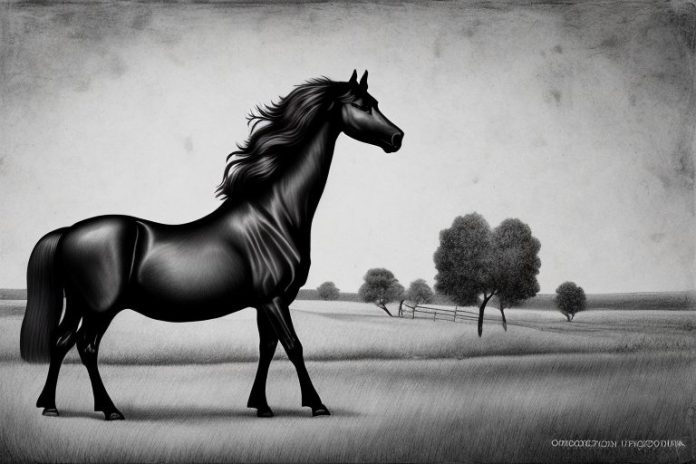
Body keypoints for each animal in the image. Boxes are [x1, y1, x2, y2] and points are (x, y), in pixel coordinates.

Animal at [19, 70, 404, 420]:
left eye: (376, 102)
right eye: (362, 105)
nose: (397, 137)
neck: (275, 215)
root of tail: (69, 231)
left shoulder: (267, 301)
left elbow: (267, 348)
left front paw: (261, 405)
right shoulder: (274, 298)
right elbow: (293, 347)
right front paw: (316, 404)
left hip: (78, 304)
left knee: (61, 342)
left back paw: (50, 405)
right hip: (100, 308)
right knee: (86, 347)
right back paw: (109, 409)